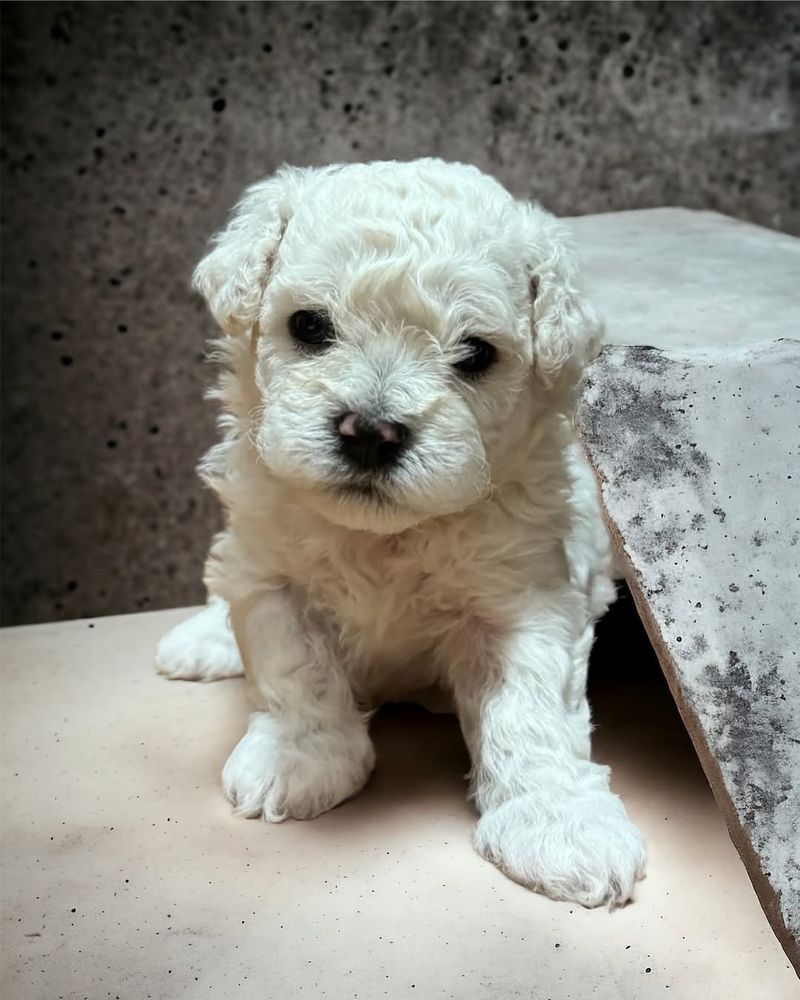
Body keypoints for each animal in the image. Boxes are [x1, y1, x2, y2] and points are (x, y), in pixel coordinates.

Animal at [158, 156, 648, 908]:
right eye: (309, 325)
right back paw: (203, 640)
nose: (371, 430)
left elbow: (530, 711)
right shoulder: (272, 573)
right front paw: (301, 758)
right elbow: (296, 667)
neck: (385, 535)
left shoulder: (527, 600)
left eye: (475, 354)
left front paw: (560, 825)